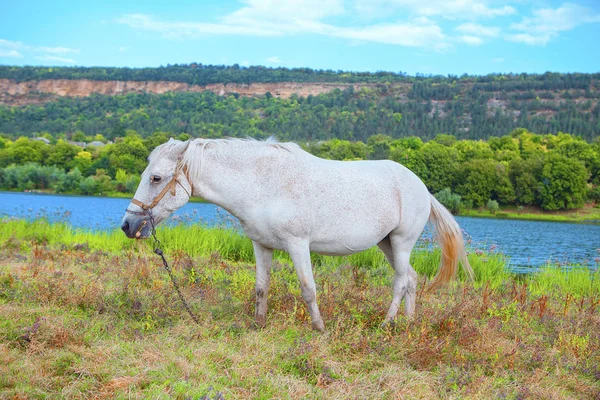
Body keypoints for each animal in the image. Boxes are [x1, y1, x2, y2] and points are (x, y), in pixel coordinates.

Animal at [122, 138, 476, 332]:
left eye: (156, 178)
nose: (128, 225)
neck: (264, 184)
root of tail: (422, 188)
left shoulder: (297, 245)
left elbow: (308, 289)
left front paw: (319, 329)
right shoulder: (261, 245)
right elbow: (261, 288)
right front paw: (259, 325)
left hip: (401, 243)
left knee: (401, 282)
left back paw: (387, 325)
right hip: (386, 244)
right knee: (413, 279)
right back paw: (409, 324)